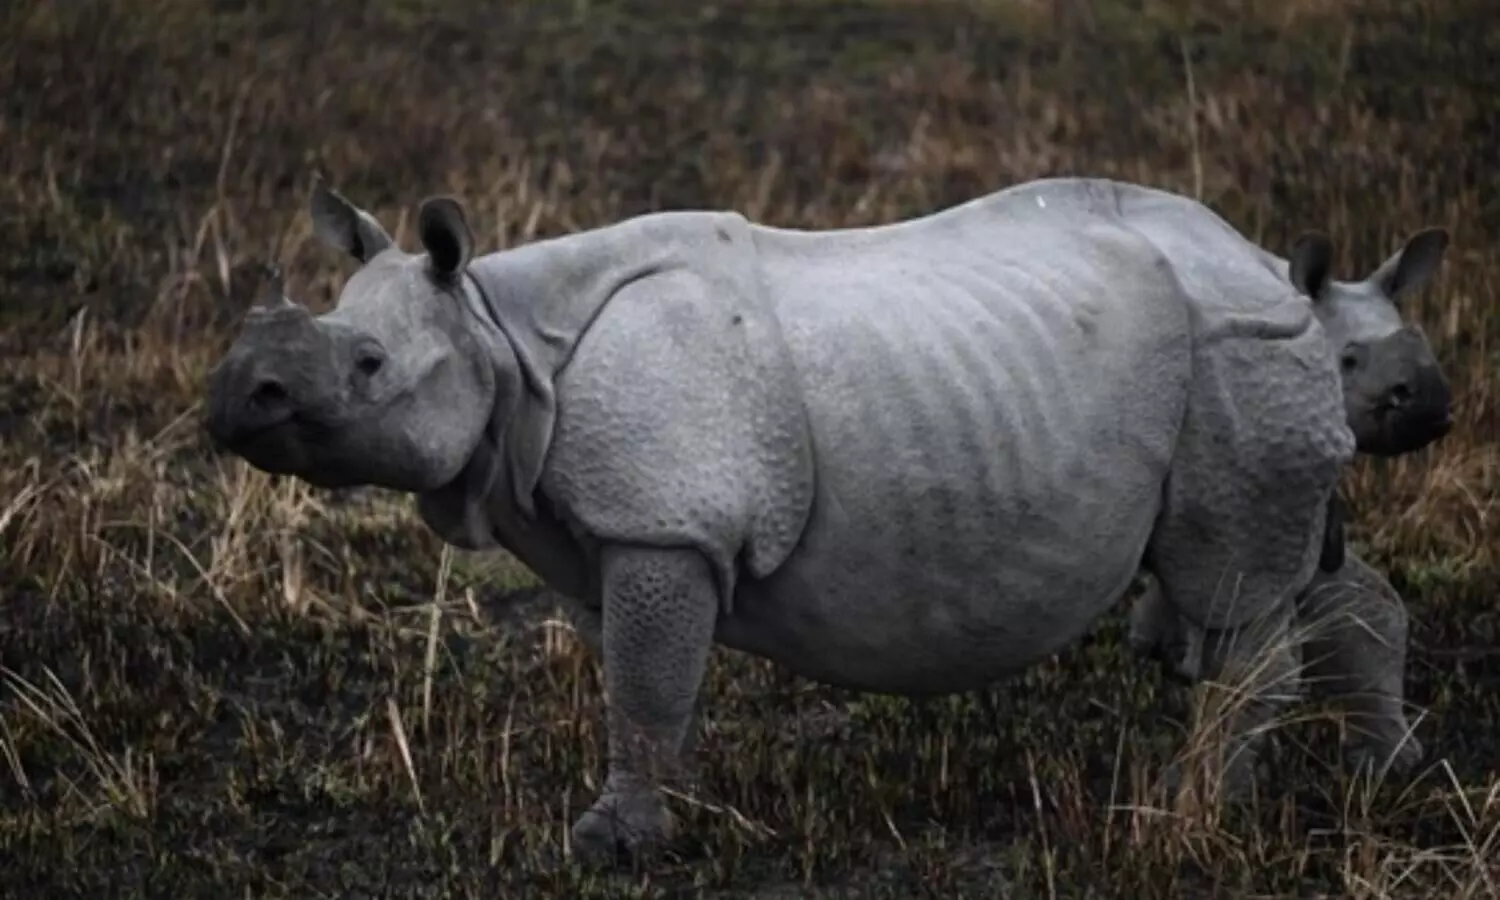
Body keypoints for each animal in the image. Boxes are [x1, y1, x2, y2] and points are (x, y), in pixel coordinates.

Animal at [207, 175, 1362, 864]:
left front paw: (609, 845)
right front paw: (670, 808)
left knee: (1231, 588)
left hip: (1242, 350)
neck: (497, 335)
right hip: (1229, 355)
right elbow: (644, 681)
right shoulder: (613, 531)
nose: (231, 399)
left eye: (368, 365)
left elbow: (642, 684)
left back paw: (1184, 813)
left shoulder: (662, 523)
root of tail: (1277, 268)